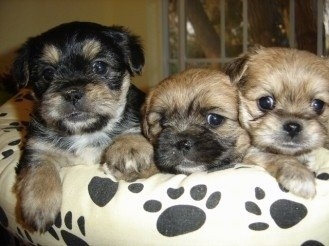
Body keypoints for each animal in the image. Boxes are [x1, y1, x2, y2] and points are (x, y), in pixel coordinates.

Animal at [11, 21, 152, 233]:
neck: (85, 131)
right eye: (47, 73)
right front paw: (39, 204)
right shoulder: (37, 147)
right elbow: (39, 168)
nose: (72, 93)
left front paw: (129, 149)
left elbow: (131, 128)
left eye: (100, 66)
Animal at [226, 47, 329, 199]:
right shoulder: (248, 151)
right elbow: (275, 155)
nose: (293, 127)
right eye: (265, 102)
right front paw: (299, 174)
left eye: (318, 105)